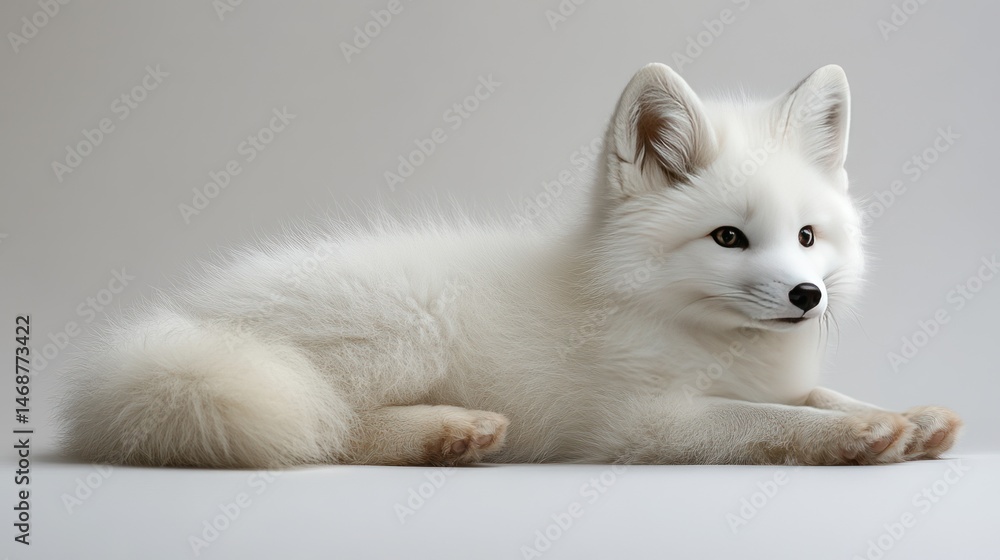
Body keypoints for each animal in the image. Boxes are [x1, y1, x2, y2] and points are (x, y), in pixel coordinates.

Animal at [60, 63, 962, 468]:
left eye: (807, 237)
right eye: (729, 240)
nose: (807, 296)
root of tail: (183, 324)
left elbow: (815, 394)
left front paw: (905, 416)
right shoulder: (637, 425)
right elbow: (767, 421)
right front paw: (853, 436)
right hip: (393, 338)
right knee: (326, 431)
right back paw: (450, 429)